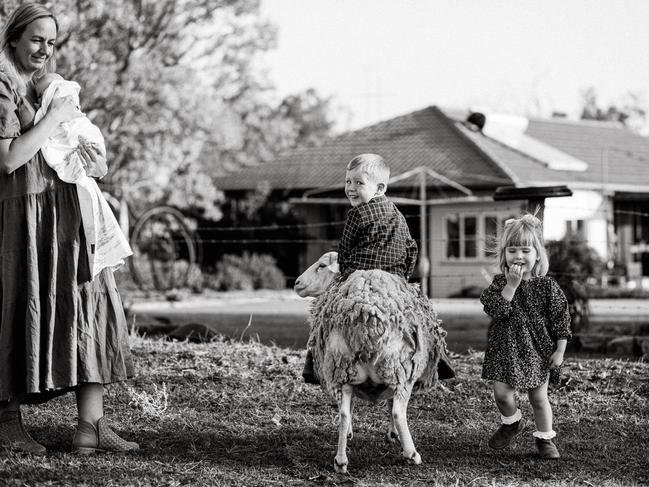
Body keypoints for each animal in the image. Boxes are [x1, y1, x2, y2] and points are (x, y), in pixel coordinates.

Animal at [294, 254, 456, 474]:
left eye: (321, 266)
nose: (296, 283)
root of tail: (365, 317)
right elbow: (391, 406)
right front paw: (393, 434)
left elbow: (357, 406)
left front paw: (358, 433)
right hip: (400, 370)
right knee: (398, 412)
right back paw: (411, 454)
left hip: (342, 370)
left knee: (343, 414)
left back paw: (341, 461)